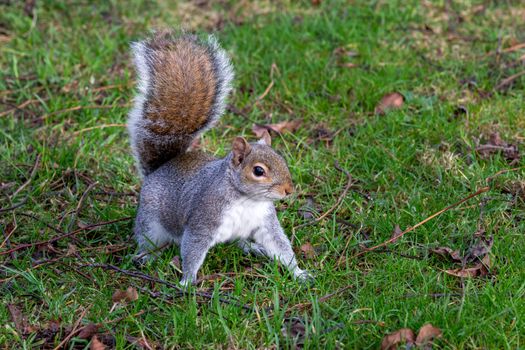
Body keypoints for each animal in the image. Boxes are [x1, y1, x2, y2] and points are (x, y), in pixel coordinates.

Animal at [127, 30, 312, 286]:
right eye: (258, 171)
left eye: (282, 159)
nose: (288, 190)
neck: (247, 200)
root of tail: (159, 169)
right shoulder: (203, 220)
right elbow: (193, 250)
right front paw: (187, 282)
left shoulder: (265, 223)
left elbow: (281, 246)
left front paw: (299, 272)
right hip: (151, 223)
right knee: (148, 240)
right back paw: (146, 256)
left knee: (238, 241)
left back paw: (253, 248)